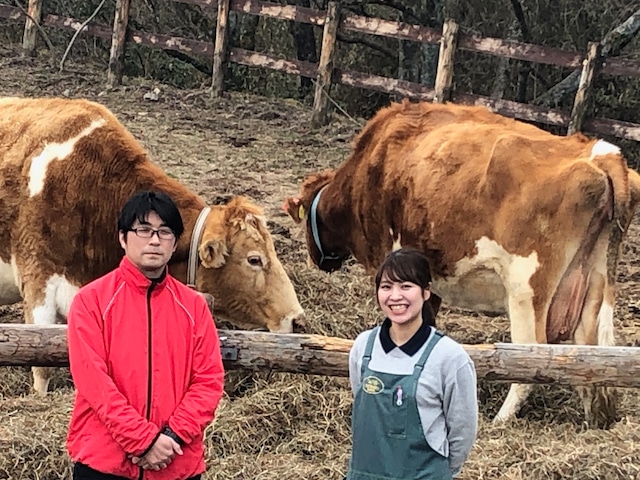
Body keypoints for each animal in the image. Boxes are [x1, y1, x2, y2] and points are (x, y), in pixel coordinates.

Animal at [286, 98, 640, 428]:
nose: (317, 259)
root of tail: (604, 155)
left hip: (527, 289)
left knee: (533, 355)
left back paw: (500, 420)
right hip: (592, 287)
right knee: (591, 357)